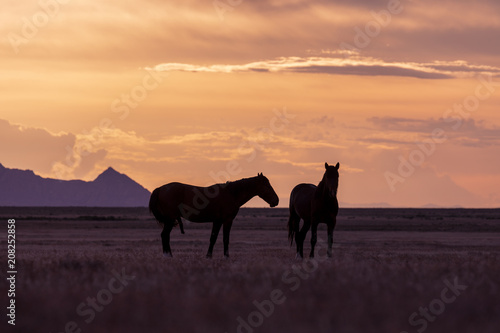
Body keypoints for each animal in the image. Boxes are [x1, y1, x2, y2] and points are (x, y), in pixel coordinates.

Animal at [148, 172, 282, 258]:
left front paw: (209, 256)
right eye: (267, 185)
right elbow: (225, 238)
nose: (276, 201)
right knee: (165, 235)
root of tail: (160, 189)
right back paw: (168, 255)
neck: (231, 194)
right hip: (170, 220)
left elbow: (213, 238)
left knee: (165, 235)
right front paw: (226, 256)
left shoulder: (217, 221)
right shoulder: (227, 220)